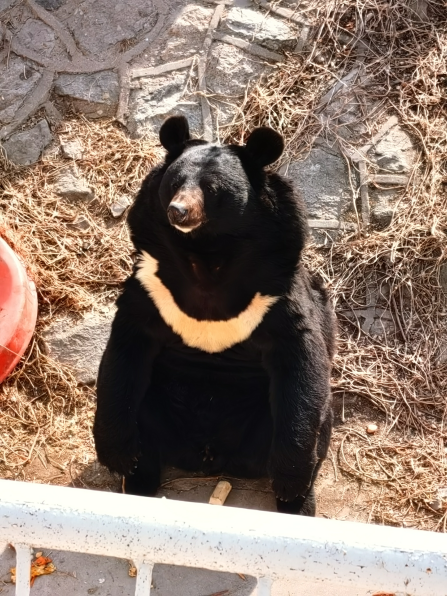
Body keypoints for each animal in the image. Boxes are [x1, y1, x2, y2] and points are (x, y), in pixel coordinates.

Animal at [94, 114, 336, 516]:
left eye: (212, 189)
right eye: (175, 183)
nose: (178, 211)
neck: (207, 253)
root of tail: (212, 457)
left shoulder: (276, 290)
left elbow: (301, 359)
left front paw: (289, 482)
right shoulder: (151, 285)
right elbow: (123, 353)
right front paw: (116, 455)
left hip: (277, 419)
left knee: (318, 422)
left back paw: (297, 504)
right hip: (158, 401)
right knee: (143, 426)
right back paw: (137, 482)